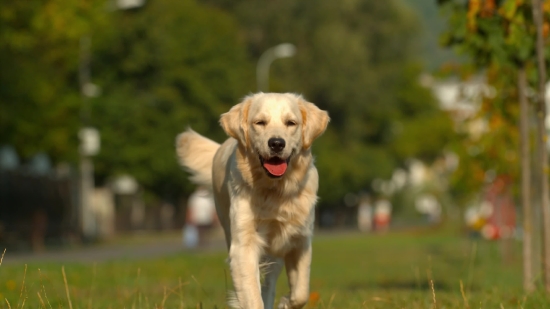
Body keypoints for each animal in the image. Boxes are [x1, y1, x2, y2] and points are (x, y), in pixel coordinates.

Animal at [177, 92, 330, 308]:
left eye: (291, 123)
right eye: (260, 122)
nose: (276, 143)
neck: (274, 190)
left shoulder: (300, 240)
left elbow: (301, 293)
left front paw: (285, 303)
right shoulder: (244, 244)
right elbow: (251, 293)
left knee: (270, 285)